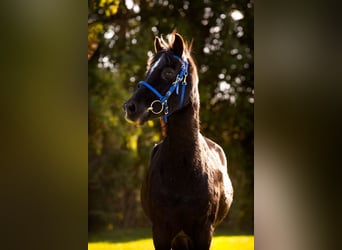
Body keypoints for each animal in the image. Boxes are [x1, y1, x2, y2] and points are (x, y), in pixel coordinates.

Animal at [123, 31, 232, 250]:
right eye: (148, 70)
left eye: (168, 72)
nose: (130, 107)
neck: (184, 169)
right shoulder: (161, 231)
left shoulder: (204, 232)